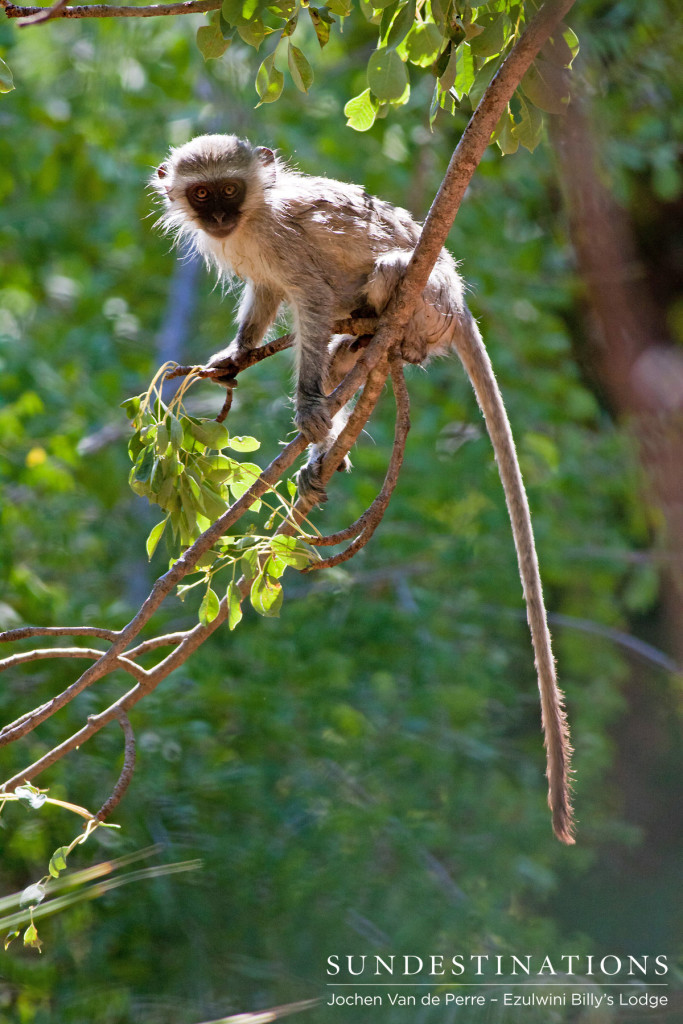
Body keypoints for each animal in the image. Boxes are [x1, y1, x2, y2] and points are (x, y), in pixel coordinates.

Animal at [152, 132, 573, 843]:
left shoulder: (289, 250)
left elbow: (311, 302)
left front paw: (305, 406)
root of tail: (458, 304)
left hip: (424, 300)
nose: (219, 217)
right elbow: (265, 301)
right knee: (342, 345)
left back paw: (373, 346)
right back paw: (334, 436)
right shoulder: (258, 269)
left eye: (230, 189)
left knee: (377, 282)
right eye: (203, 193)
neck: (254, 218)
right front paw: (233, 358)